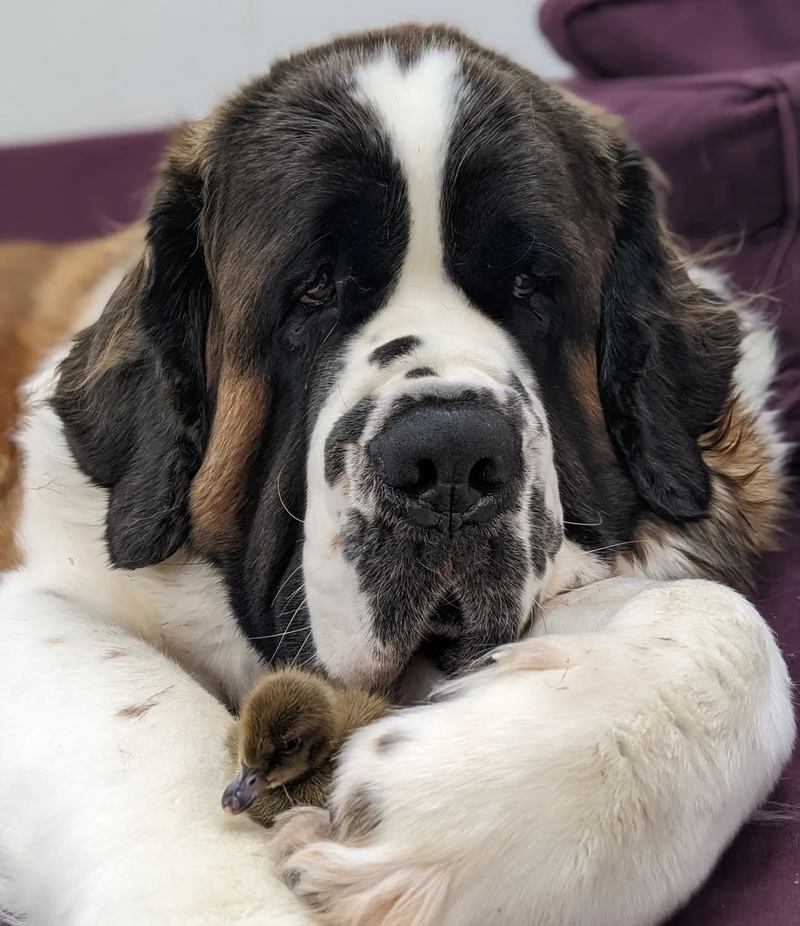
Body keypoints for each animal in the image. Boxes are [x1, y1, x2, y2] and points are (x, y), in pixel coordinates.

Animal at [0, 21, 792, 926]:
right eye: (311, 291)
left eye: (531, 286)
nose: (448, 458)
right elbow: (145, 713)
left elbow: (729, 622)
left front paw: (443, 806)